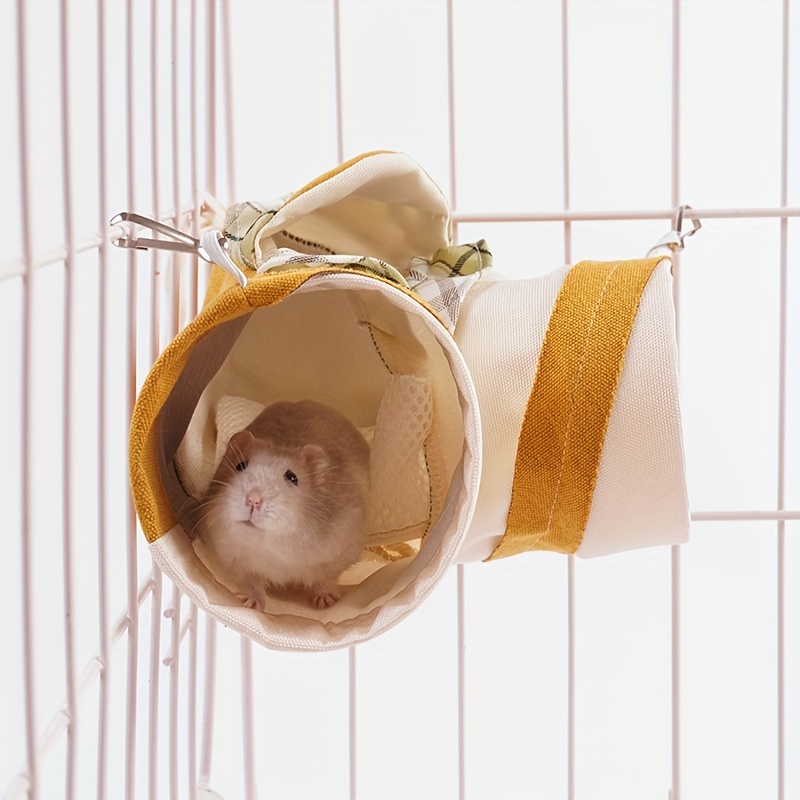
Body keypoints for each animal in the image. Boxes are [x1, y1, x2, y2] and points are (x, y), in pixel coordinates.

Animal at [195, 400, 370, 611]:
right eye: (240, 466)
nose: (253, 500)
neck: (270, 547)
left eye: (292, 477)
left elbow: (325, 580)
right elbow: (252, 583)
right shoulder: (237, 563)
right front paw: (249, 604)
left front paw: (326, 604)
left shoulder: (338, 557)